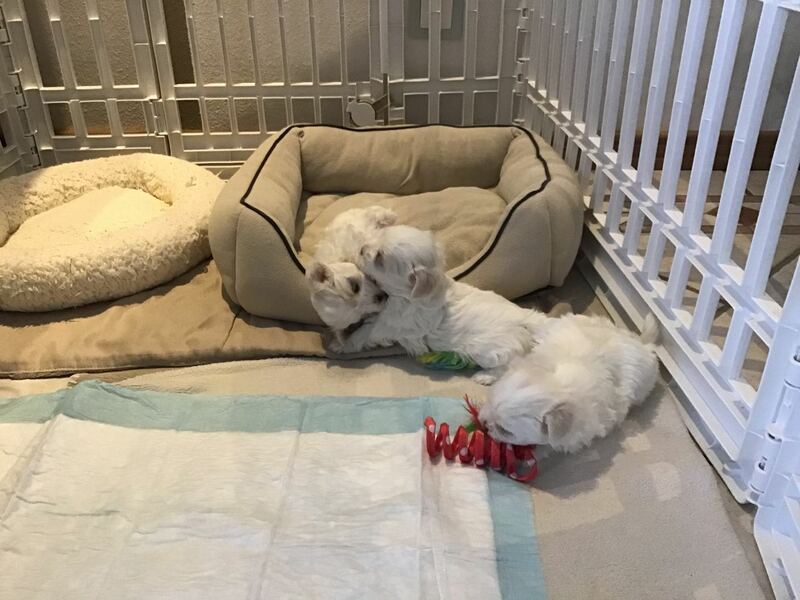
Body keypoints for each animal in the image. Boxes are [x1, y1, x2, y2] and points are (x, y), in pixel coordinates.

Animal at [326, 224, 548, 382]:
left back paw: (485, 376)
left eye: (380, 258)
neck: (407, 296)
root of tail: (525, 317)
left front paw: (340, 346)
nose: (362, 248)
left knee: (509, 364)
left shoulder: (390, 324)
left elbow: (363, 332)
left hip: (490, 350)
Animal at [478, 314, 660, 453]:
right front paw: (485, 376)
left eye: (504, 430)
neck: (560, 385)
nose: (483, 422)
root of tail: (640, 341)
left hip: (643, 386)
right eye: (488, 401)